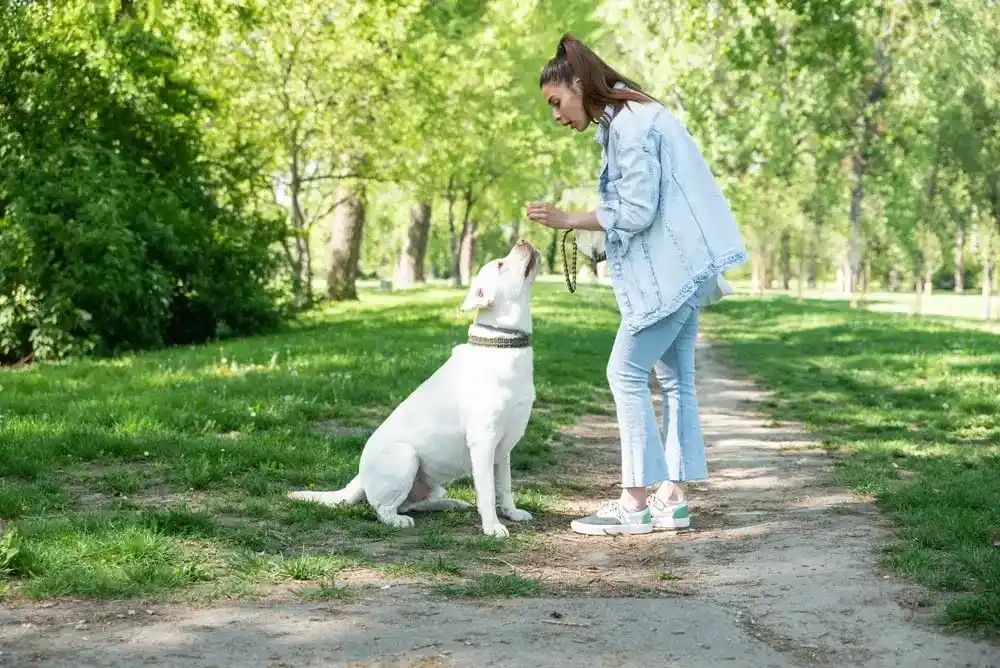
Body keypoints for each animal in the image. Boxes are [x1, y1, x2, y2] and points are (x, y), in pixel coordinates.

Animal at [286, 240, 544, 536]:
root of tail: (359, 478)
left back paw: (451, 503)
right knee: (383, 509)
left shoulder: (504, 448)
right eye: (501, 264)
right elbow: (488, 491)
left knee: (415, 503)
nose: (523, 241)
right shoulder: (484, 442)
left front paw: (512, 513)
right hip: (405, 457)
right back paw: (399, 520)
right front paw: (492, 527)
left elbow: (506, 486)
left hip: (432, 482)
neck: (505, 342)